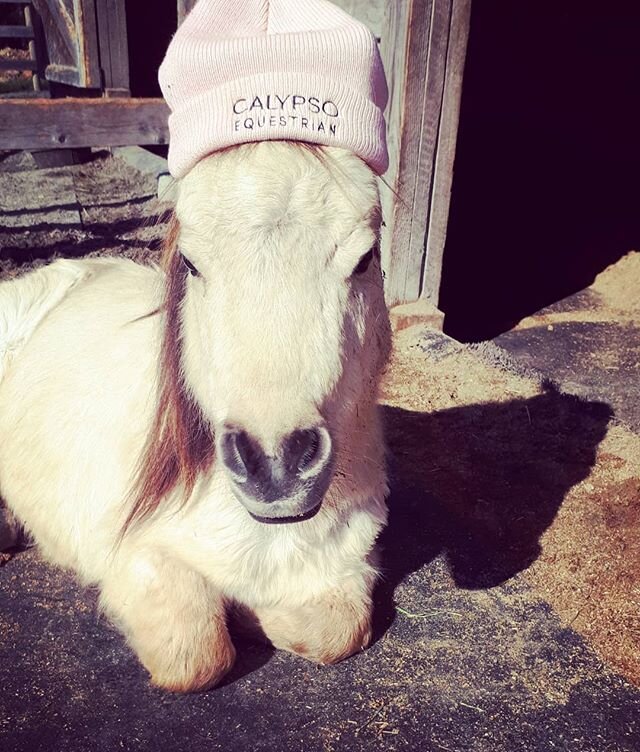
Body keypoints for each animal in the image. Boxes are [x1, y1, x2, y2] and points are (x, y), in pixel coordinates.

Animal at [0, 142, 390, 692]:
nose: (275, 464)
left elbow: (336, 630)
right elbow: (195, 652)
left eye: (365, 258)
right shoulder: (133, 556)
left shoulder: (347, 565)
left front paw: (252, 614)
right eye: (191, 263)